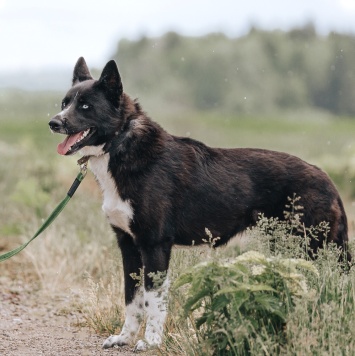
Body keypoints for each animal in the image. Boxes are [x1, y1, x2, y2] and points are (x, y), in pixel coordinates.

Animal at [48, 57, 352, 350]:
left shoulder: (154, 246)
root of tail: (326, 178)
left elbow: (153, 302)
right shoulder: (129, 247)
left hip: (316, 248)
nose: (53, 123)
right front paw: (124, 338)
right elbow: (131, 301)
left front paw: (151, 341)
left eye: (85, 106)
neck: (121, 143)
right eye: (64, 103)